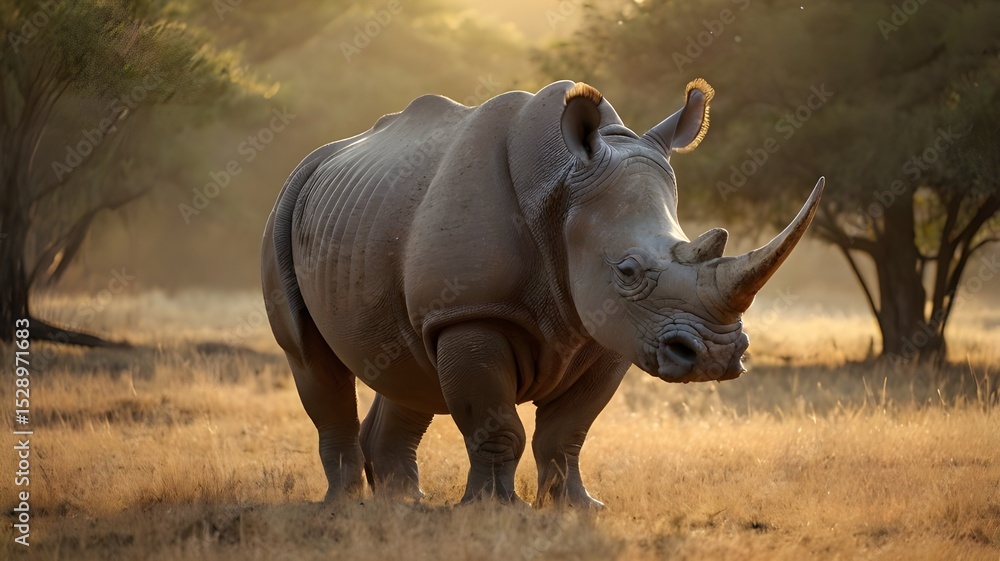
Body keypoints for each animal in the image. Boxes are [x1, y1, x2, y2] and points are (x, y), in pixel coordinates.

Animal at [261, 78, 824, 507]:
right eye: (628, 271)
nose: (716, 357)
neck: (563, 188)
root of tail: (323, 156)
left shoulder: (611, 329)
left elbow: (567, 432)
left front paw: (576, 508)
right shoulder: (471, 312)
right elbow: (497, 426)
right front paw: (494, 511)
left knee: (406, 367)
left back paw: (404, 505)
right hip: (284, 210)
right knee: (313, 361)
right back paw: (346, 505)